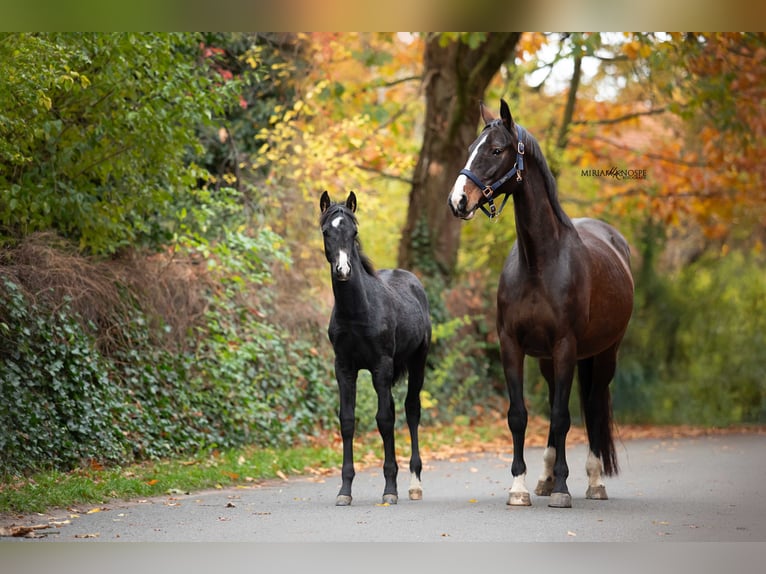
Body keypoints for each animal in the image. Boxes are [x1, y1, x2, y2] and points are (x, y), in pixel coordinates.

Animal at [319, 190, 432, 506]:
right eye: (327, 231)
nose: (343, 270)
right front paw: (344, 491)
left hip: (417, 363)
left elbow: (384, 420)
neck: (358, 311)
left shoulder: (381, 366)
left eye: (354, 232)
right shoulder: (345, 369)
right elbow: (348, 421)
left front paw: (390, 489)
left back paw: (414, 484)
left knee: (410, 411)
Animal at [447, 100, 634, 508]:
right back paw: (547, 478)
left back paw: (593, 481)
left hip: (604, 354)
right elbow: (519, 415)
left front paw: (563, 489)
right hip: (552, 360)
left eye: (496, 150)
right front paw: (519, 487)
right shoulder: (512, 345)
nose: (458, 201)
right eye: (470, 147)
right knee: (555, 405)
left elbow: (564, 417)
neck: (539, 263)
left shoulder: (566, 345)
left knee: (591, 407)